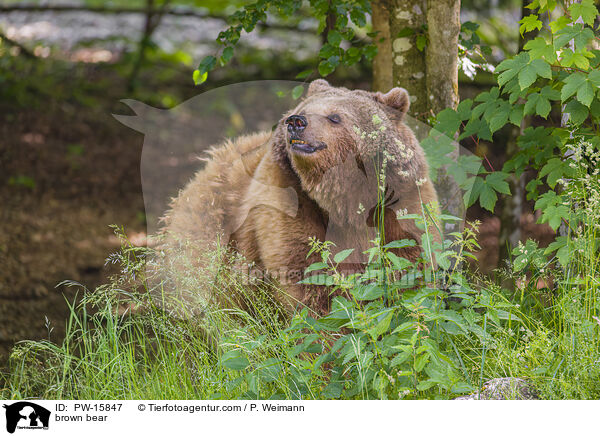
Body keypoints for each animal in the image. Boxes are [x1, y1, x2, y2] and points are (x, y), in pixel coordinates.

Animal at [158, 79, 440, 314]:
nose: (296, 122)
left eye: (335, 117)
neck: (343, 198)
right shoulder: (291, 201)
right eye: (305, 108)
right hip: (209, 227)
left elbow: (409, 256)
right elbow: (306, 273)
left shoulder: (399, 200)